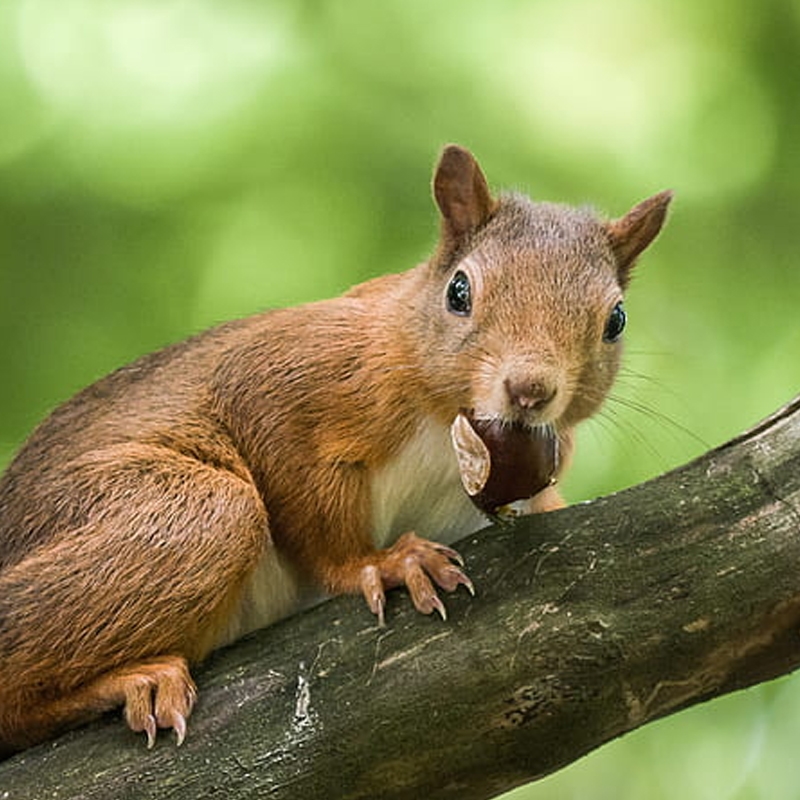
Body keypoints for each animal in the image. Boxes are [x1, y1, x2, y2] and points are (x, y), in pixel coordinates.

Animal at [0, 147, 668, 752]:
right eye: (459, 291)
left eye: (616, 320)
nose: (530, 390)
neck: (446, 422)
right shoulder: (290, 374)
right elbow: (305, 499)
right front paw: (379, 564)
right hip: (185, 514)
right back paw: (131, 681)